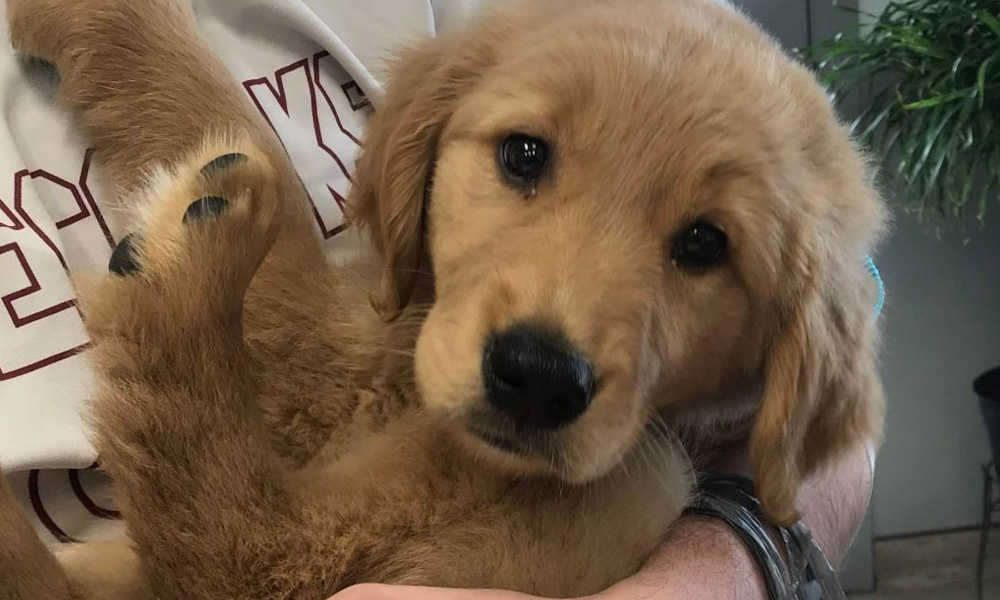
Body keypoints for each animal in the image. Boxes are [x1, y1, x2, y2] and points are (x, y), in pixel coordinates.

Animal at [0, 0, 888, 596]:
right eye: (524, 154)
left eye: (707, 244)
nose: (536, 378)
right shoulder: (338, 362)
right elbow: (242, 146)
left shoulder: (302, 552)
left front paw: (195, 254)